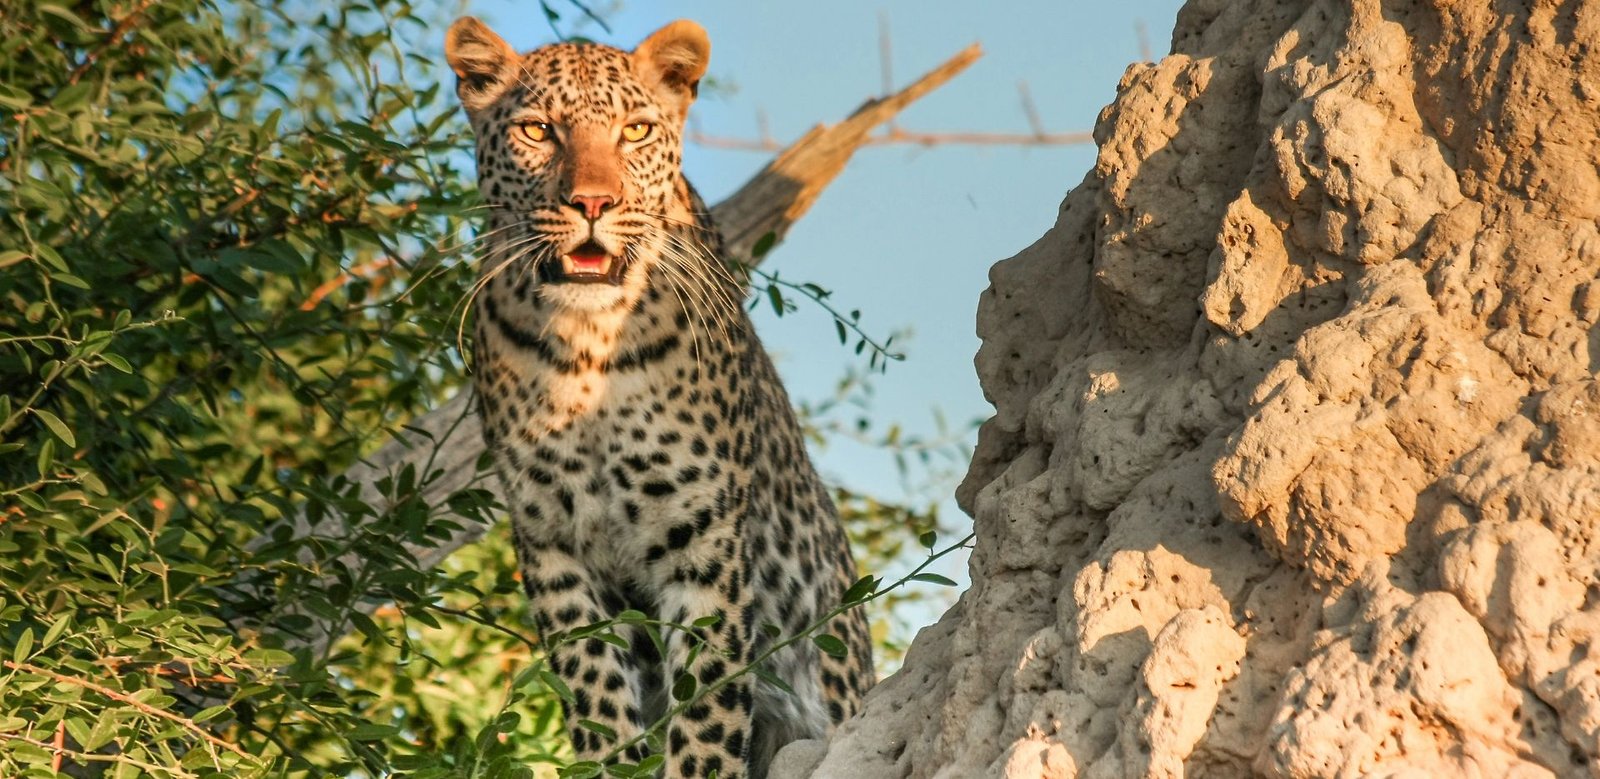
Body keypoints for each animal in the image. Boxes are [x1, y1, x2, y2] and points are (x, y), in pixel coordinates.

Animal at [444, 17, 875, 779]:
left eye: (637, 131)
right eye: (537, 131)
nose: (593, 204)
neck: (587, 347)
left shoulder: (701, 538)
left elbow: (704, 712)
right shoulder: (553, 544)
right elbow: (595, 694)